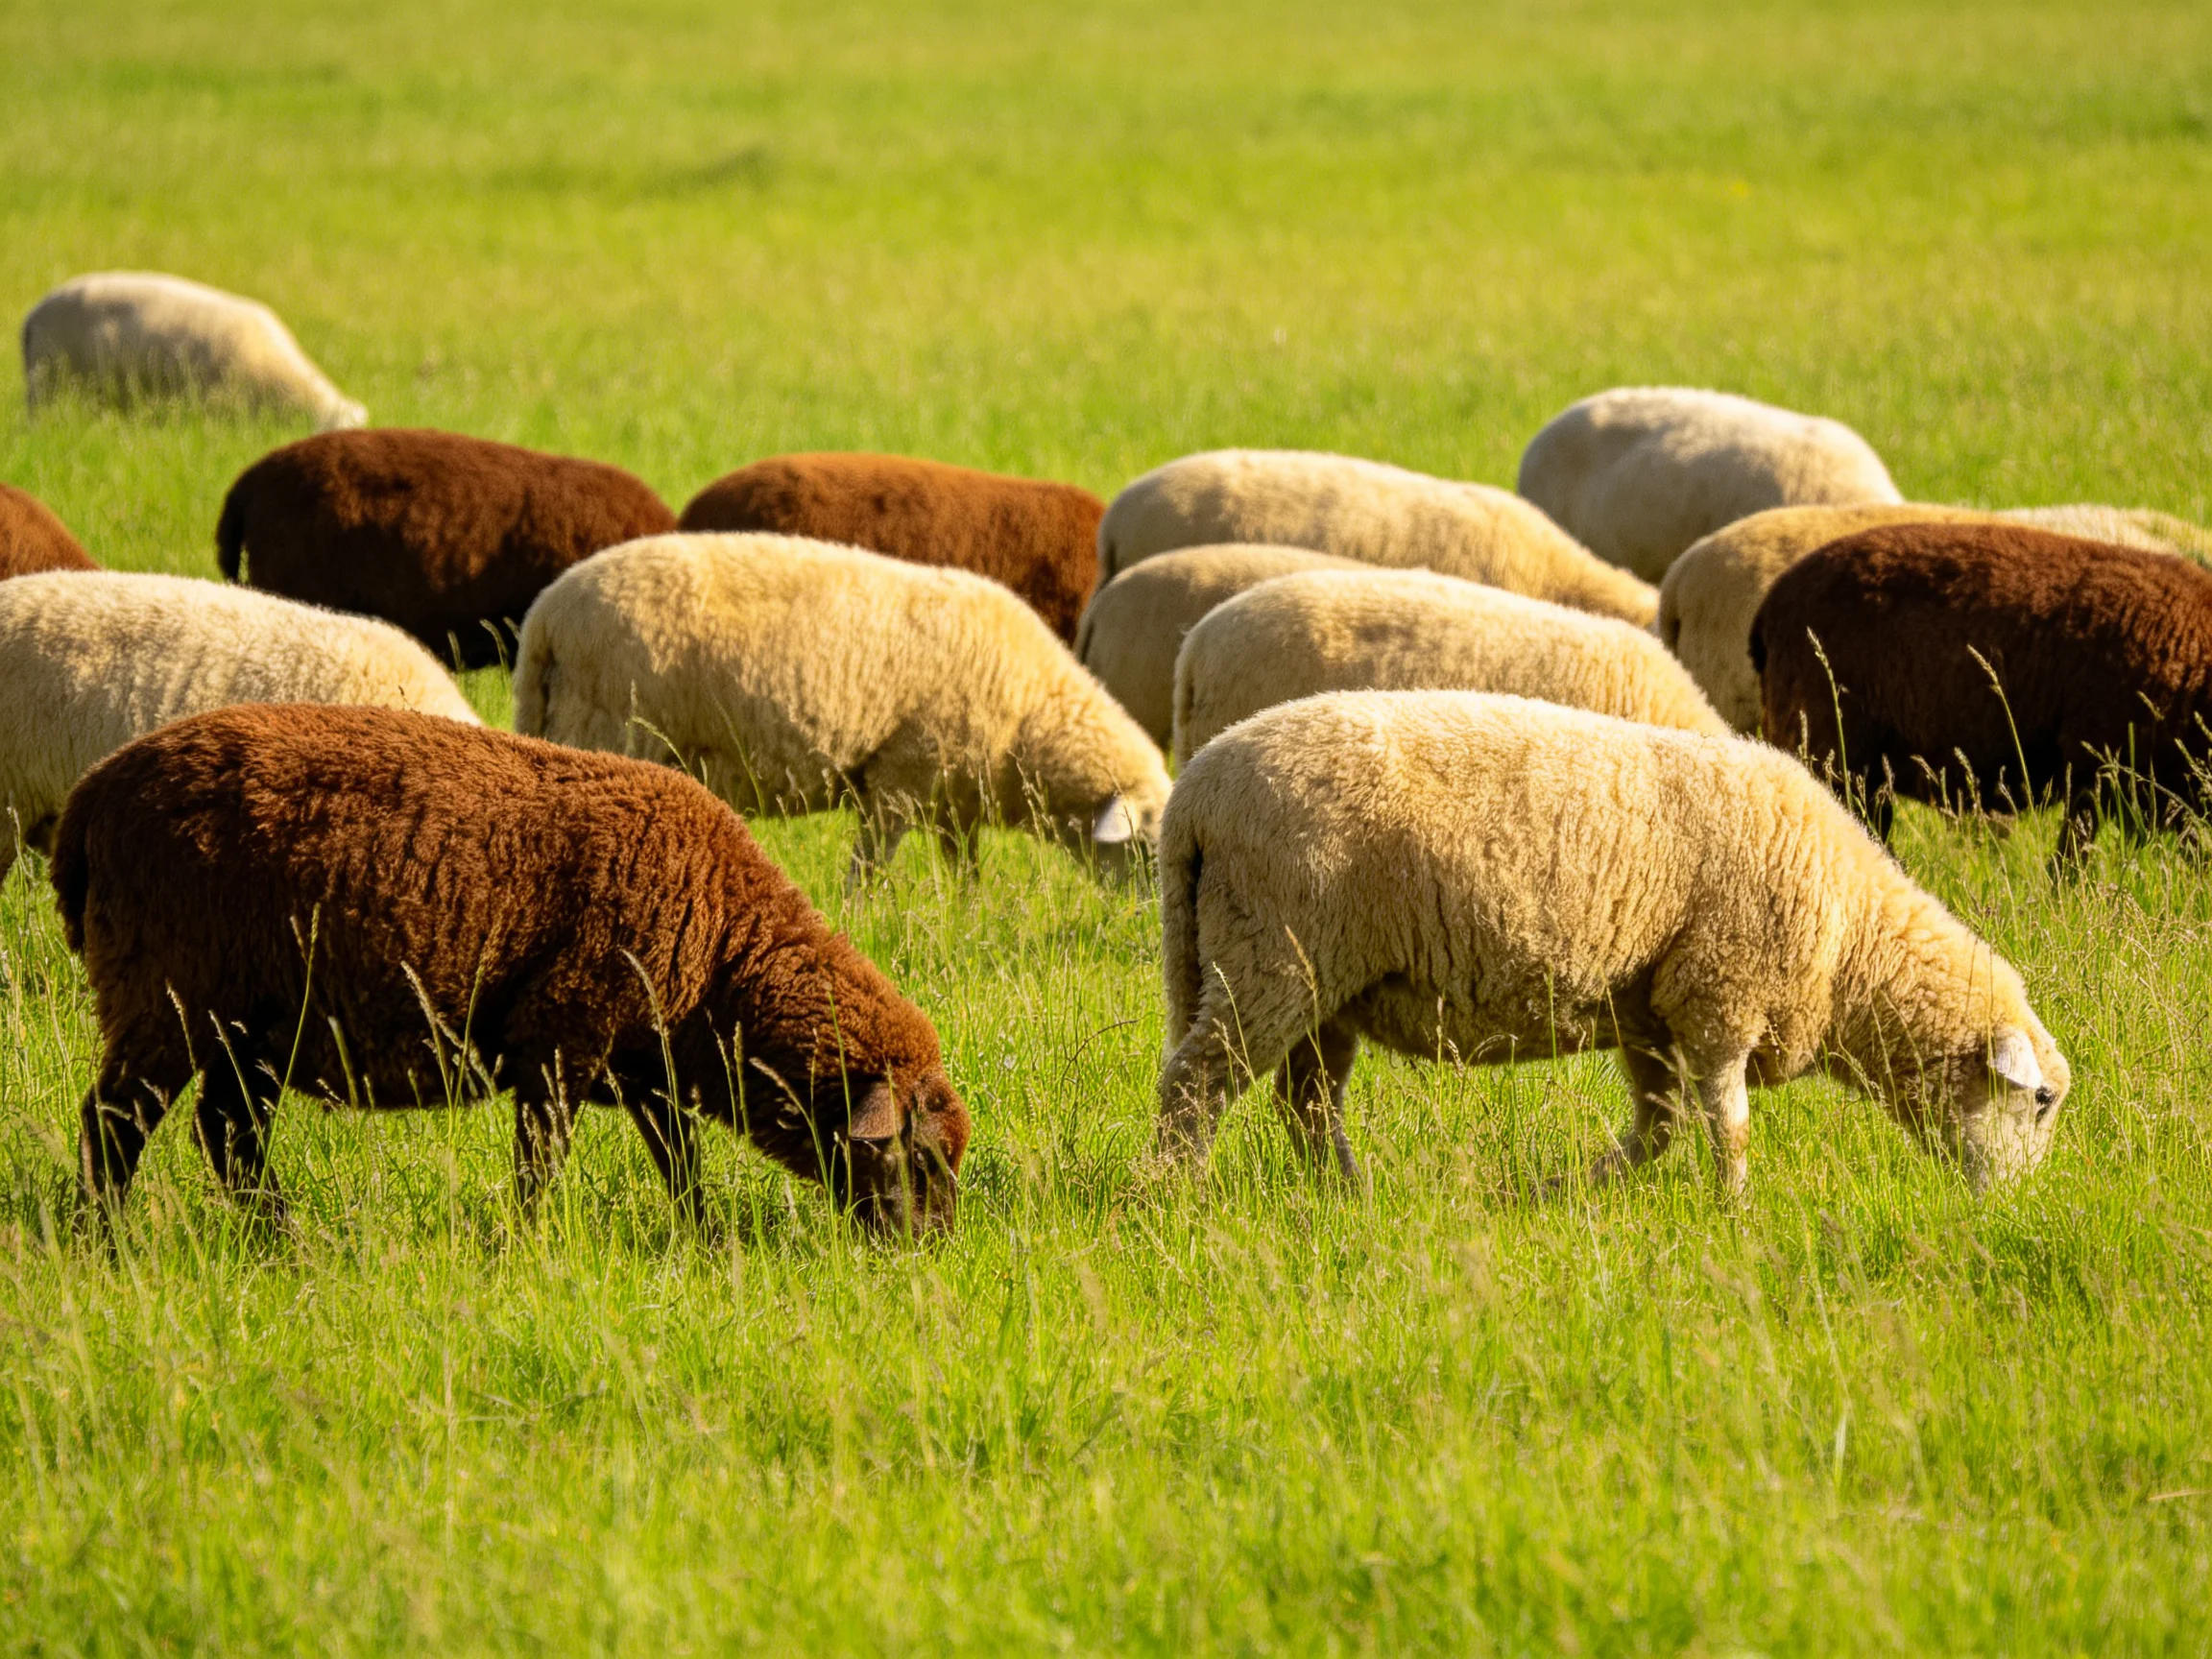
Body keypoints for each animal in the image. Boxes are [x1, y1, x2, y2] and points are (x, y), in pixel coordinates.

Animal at [57, 704, 969, 1233]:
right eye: (920, 1158)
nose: (926, 1255)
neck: (725, 951)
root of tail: (94, 794)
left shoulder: (644, 1067)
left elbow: (681, 1162)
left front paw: (701, 1241)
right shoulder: (562, 1038)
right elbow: (542, 1159)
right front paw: (526, 1243)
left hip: (246, 1025)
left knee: (227, 1130)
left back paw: (279, 1239)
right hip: (168, 994)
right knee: (115, 1123)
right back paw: (109, 1242)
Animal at [514, 533, 1172, 880]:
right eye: (1146, 849)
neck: (1030, 718)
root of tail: (546, 616)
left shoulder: (953, 796)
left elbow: (964, 869)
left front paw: (965, 916)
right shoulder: (901, 775)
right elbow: (870, 869)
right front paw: (863, 919)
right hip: (607, 732)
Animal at [1155, 690, 2067, 1196]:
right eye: (2042, 1101)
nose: (2014, 1209)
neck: (1854, 944)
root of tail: (1194, 792)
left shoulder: (1652, 1011)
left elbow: (1659, 1128)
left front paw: (1556, 1191)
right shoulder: (1720, 996)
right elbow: (1728, 1123)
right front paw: (1736, 1207)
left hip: (1324, 983)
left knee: (1305, 1102)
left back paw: (1347, 1193)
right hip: (1271, 958)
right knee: (1195, 1088)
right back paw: (1176, 1199)